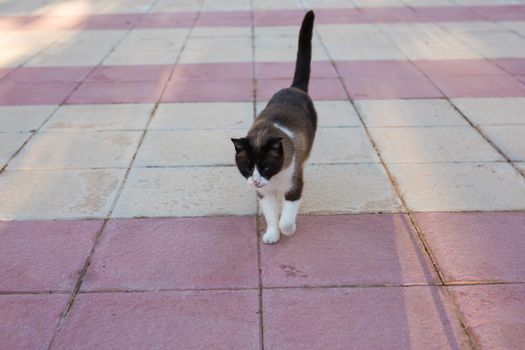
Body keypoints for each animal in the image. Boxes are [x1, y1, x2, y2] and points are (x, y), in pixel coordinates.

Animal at [230, 8, 316, 243]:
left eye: (266, 166)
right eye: (247, 167)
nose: (256, 180)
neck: (273, 181)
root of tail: (294, 88)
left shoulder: (294, 186)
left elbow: (286, 217)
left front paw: (288, 230)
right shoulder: (264, 194)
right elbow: (270, 215)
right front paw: (271, 235)